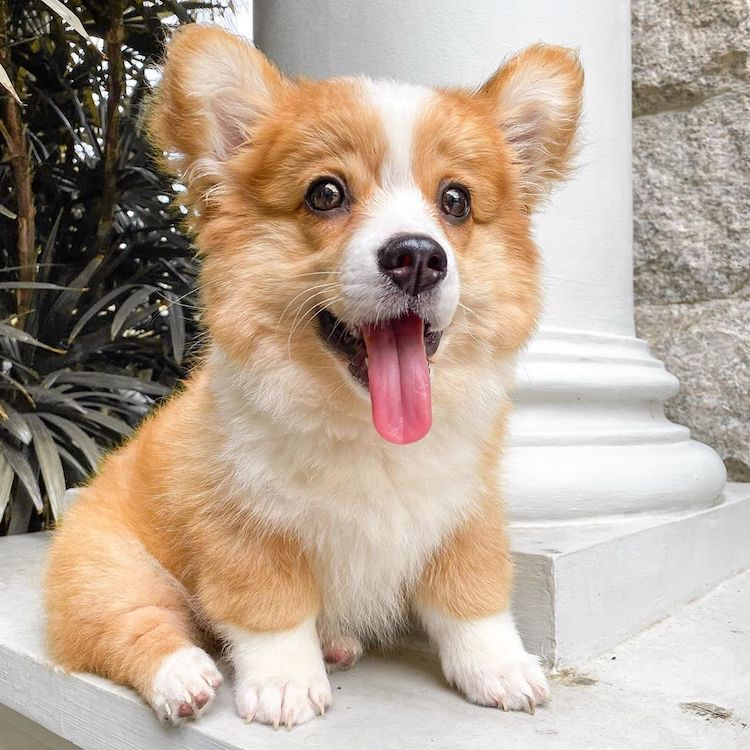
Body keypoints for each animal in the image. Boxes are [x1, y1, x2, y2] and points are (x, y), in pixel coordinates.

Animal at [45, 25, 588, 728]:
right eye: (325, 194)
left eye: (456, 201)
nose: (417, 257)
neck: (367, 428)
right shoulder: (245, 526)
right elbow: (271, 610)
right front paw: (284, 684)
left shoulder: (465, 512)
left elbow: (472, 598)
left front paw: (499, 669)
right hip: (107, 568)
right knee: (130, 626)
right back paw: (184, 675)